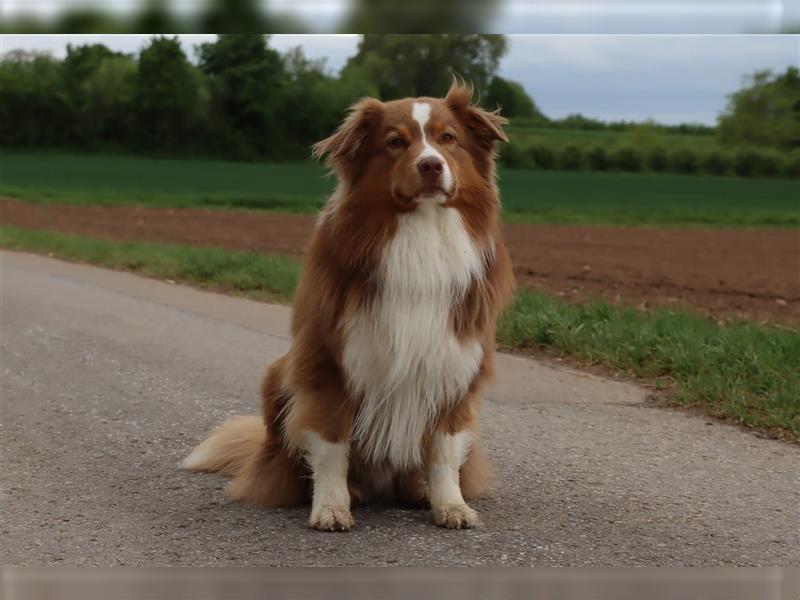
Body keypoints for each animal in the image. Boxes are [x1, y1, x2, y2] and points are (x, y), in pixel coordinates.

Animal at [181, 79, 512, 528]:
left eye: (448, 139)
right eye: (395, 142)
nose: (431, 165)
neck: (420, 233)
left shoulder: (455, 364)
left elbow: (443, 449)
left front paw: (451, 505)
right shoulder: (328, 363)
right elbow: (330, 445)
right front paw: (331, 506)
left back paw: (419, 491)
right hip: (278, 376)